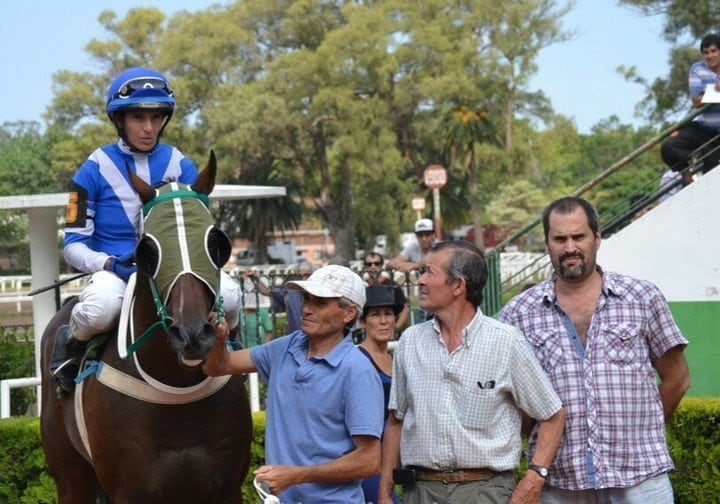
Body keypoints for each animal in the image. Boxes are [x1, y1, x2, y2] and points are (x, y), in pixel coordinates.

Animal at [40, 154, 253, 504]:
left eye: (215, 243)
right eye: (148, 251)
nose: (192, 334)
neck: (177, 390)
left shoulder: (225, 488)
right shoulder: (129, 491)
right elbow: (76, 239)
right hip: (71, 477)